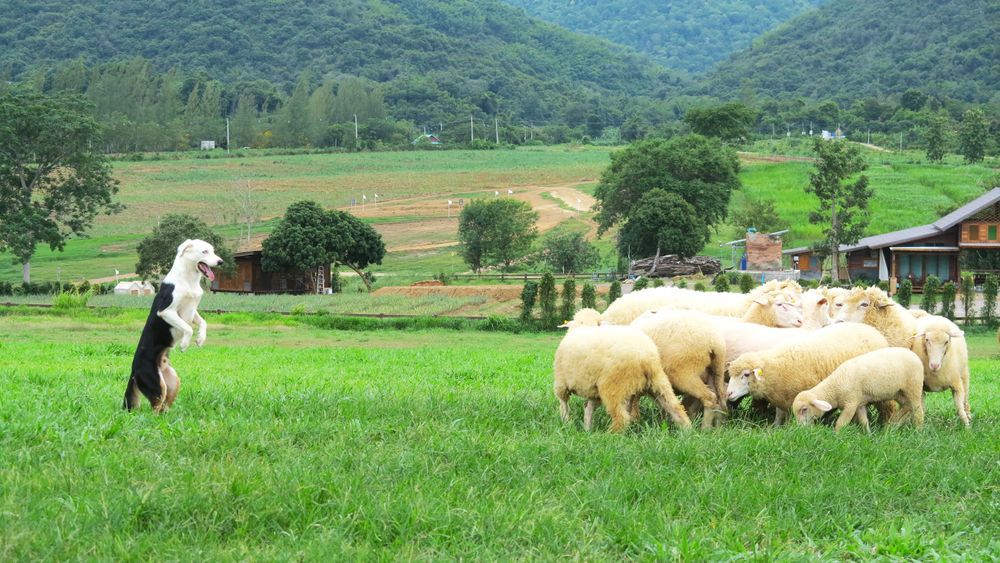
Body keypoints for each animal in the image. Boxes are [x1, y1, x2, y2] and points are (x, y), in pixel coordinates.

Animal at [123, 239, 223, 414]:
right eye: (204, 252)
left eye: (213, 251)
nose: (220, 262)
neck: (188, 279)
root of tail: (134, 371)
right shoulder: (166, 311)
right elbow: (188, 328)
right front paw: (184, 344)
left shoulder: (192, 311)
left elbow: (203, 323)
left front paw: (200, 339)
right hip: (155, 384)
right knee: (155, 409)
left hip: (173, 382)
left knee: (164, 407)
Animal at [552, 324, 692, 434]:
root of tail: (644, 357)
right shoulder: (593, 392)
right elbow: (588, 409)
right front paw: (587, 430)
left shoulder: (561, 383)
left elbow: (564, 405)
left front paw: (566, 424)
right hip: (658, 381)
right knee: (675, 407)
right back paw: (687, 432)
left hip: (612, 386)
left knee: (621, 418)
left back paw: (608, 436)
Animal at [728, 324, 892, 426]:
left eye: (746, 374)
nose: (728, 393)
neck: (776, 367)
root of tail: (873, 330)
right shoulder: (782, 398)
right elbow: (779, 415)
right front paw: (775, 428)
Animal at [792, 348, 924, 432]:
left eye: (804, 409)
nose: (800, 429)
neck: (834, 388)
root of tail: (915, 356)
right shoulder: (860, 404)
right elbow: (864, 421)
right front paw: (868, 435)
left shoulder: (851, 403)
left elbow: (841, 423)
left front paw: (836, 435)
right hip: (899, 392)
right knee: (907, 406)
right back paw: (892, 424)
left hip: (914, 387)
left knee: (918, 410)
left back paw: (918, 430)